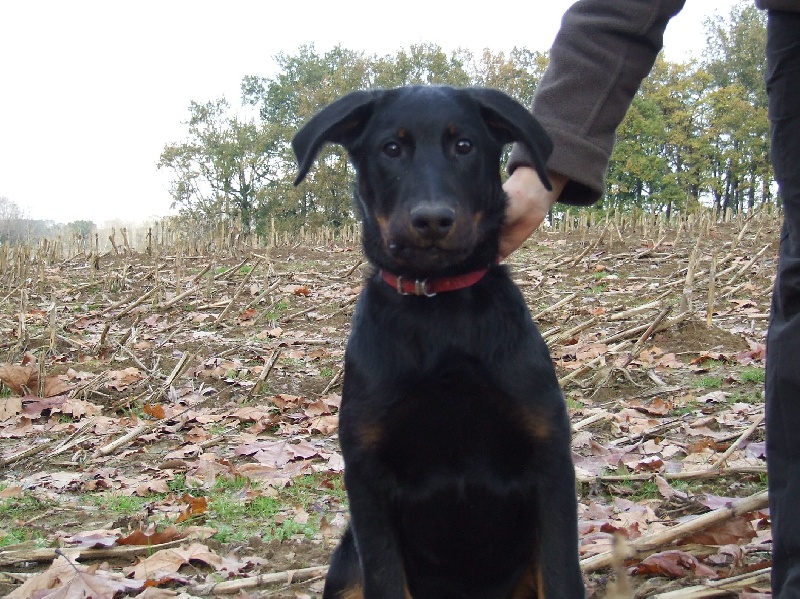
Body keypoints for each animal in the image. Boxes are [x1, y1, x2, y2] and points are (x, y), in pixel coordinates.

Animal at [292, 85, 580, 599]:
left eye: (464, 145)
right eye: (391, 148)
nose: (431, 220)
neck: (438, 309)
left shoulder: (549, 460)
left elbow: (563, 577)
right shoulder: (367, 479)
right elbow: (386, 580)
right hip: (347, 564)